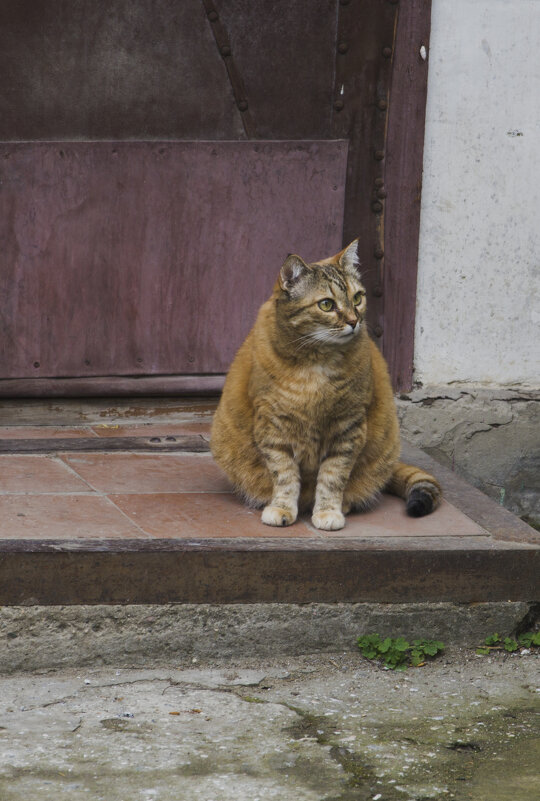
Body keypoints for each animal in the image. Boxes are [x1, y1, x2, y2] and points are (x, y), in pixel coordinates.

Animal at [209, 241, 440, 528]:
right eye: (327, 304)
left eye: (357, 298)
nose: (353, 321)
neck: (315, 364)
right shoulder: (272, 426)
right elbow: (284, 475)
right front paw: (282, 508)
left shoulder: (348, 427)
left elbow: (333, 476)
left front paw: (328, 511)